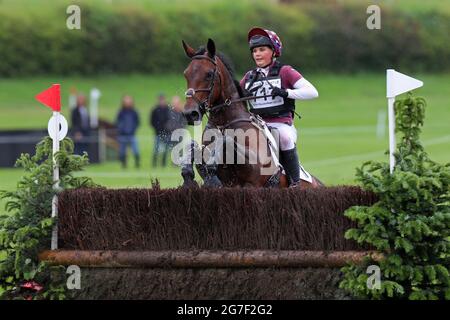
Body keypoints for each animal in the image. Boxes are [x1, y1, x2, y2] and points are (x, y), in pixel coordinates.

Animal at [179, 37, 324, 189]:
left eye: (209, 74)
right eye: (186, 74)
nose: (190, 113)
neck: (224, 124)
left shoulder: (254, 176)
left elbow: (225, 140)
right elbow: (192, 146)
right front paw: (188, 177)